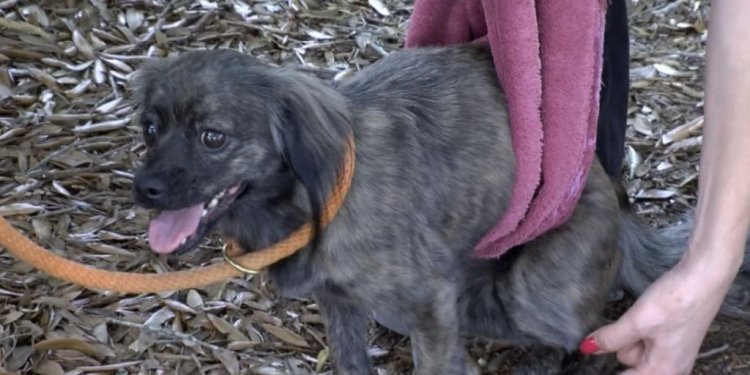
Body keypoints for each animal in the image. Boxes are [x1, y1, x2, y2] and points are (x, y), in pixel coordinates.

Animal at [129, 44, 750, 375]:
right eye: (151, 128)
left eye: (213, 137)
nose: (144, 190)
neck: (312, 199)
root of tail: (616, 202)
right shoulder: (342, 302)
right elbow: (351, 359)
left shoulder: (428, 304)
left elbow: (437, 365)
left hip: (532, 293)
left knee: (603, 327)